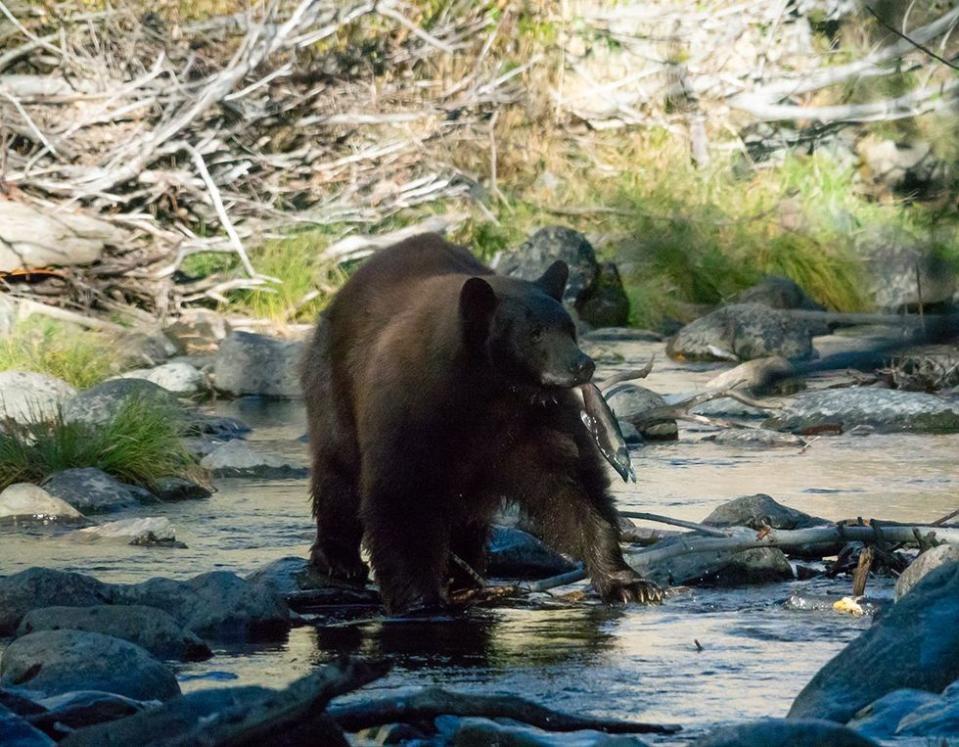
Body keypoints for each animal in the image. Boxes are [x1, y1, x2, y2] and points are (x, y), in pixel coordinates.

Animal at [300, 234, 660, 612]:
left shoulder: (536, 421)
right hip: (334, 386)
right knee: (339, 471)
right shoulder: (409, 412)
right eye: (535, 333)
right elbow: (401, 497)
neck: (486, 389)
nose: (583, 365)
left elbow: (573, 488)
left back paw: (465, 572)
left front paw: (629, 583)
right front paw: (419, 599)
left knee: (466, 514)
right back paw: (339, 558)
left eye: (570, 329)